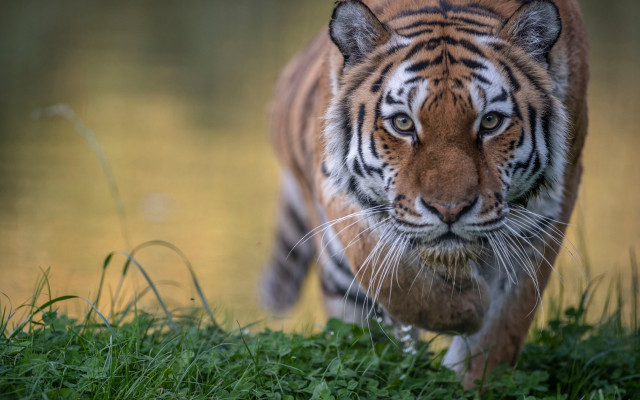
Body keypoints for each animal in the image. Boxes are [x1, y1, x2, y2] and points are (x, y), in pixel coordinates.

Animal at [261, 0, 588, 388]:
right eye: (403, 123)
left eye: (490, 122)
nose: (450, 210)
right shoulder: (338, 189)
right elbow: (393, 277)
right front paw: (467, 308)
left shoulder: (546, 210)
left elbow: (502, 328)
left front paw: (471, 382)